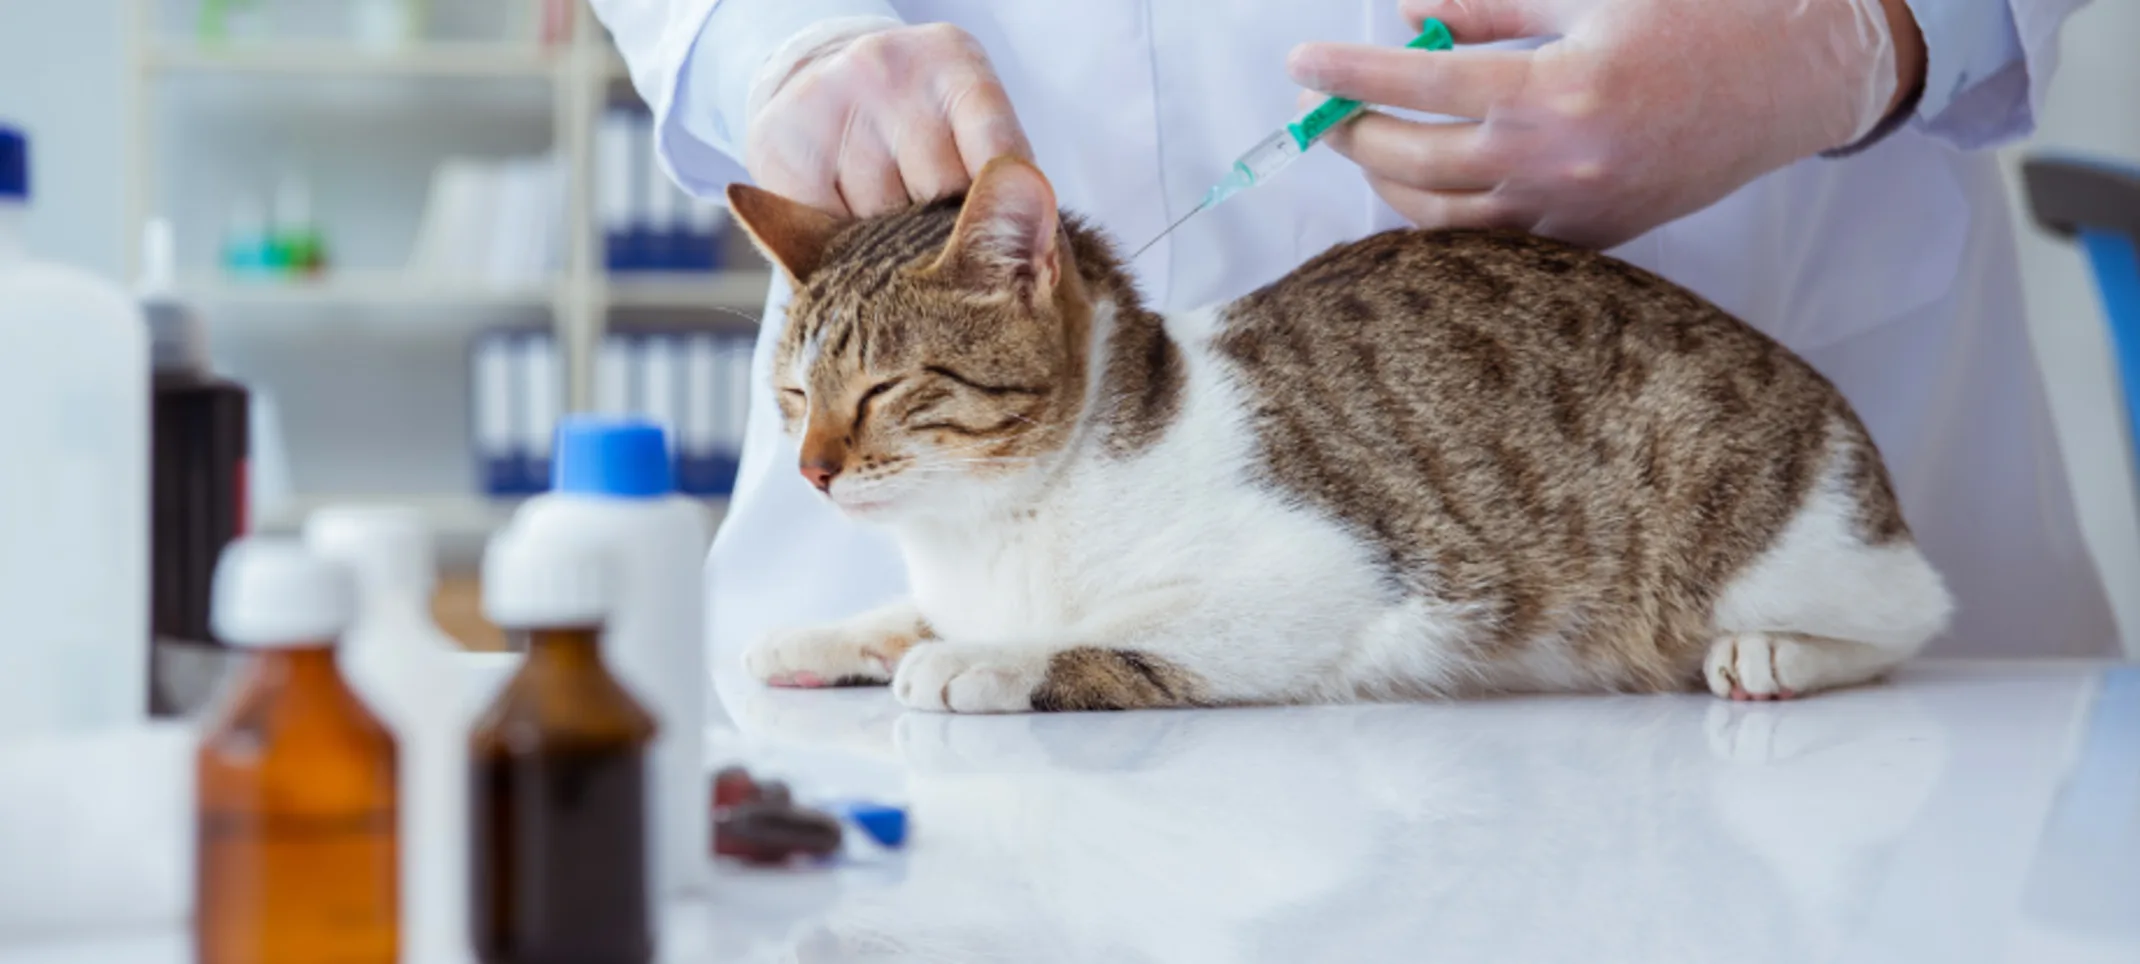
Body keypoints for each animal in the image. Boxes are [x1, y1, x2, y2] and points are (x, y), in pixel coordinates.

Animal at [723, 158, 1960, 711]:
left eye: (883, 390)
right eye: (791, 394)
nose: (814, 471)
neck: (988, 528)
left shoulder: (1336, 582)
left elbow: (1099, 633)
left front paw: (981, 656)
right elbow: (909, 609)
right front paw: (831, 632)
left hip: (1762, 536)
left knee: (1915, 613)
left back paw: (1774, 653)